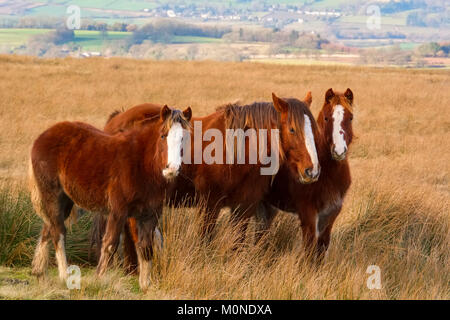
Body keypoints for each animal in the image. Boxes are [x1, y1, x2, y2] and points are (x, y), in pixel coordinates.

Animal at [29, 105, 192, 290]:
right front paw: (98, 279)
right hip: (53, 196)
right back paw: (64, 276)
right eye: (163, 135)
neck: (141, 163)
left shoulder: (150, 215)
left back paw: (39, 272)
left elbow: (146, 247)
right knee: (58, 232)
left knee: (48, 228)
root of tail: (42, 137)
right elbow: (110, 244)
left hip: (65, 201)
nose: (172, 169)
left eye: (184, 138)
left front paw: (145, 285)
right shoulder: (118, 211)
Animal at [256, 87, 356, 260]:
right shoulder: (308, 213)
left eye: (350, 118)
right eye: (326, 118)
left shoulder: (331, 212)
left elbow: (322, 247)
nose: (339, 151)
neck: (329, 174)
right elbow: (309, 249)